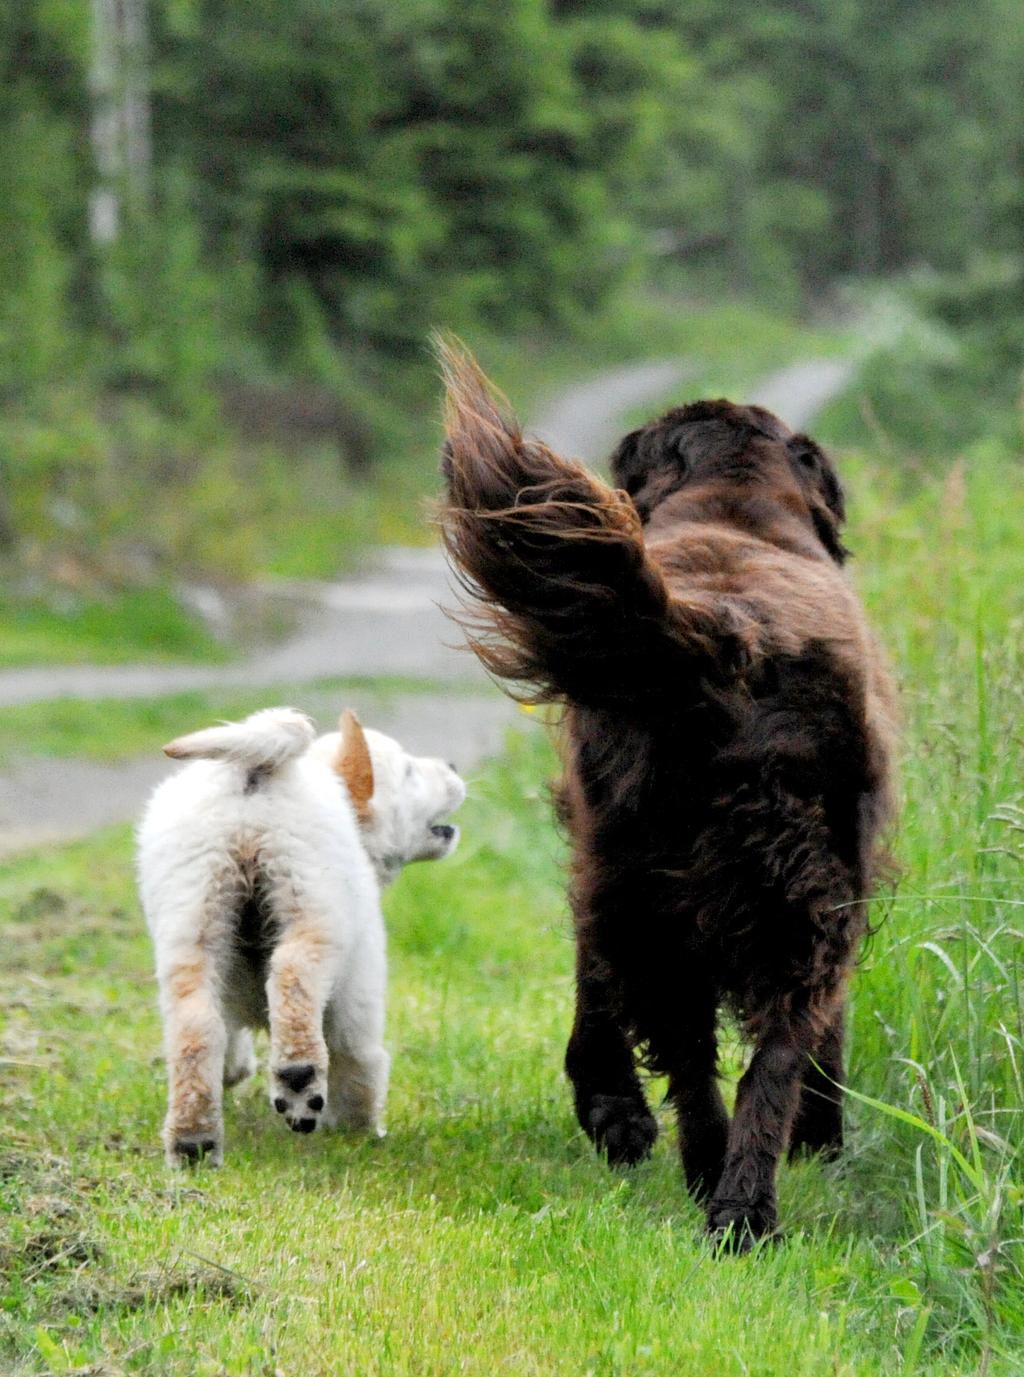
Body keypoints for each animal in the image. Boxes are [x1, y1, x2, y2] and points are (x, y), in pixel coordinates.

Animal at [136, 705, 465, 1167]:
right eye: (408, 771)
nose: (453, 766)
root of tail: (254, 774)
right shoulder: (359, 989)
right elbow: (359, 1061)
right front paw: (359, 1130)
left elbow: (229, 1040)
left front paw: (233, 1072)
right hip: (309, 904)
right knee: (292, 979)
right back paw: (298, 1079)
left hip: (192, 922)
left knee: (195, 1028)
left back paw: (193, 1140)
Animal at [440, 341, 897, 1250]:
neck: (737, 508)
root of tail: (729, 640)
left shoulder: (597, 848)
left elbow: (595, 985)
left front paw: (609, 1107)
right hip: (770, 886)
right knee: (767, 1044)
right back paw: (739, 1196)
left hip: (663, 878)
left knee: (702, 1043)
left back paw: (718, 1180)